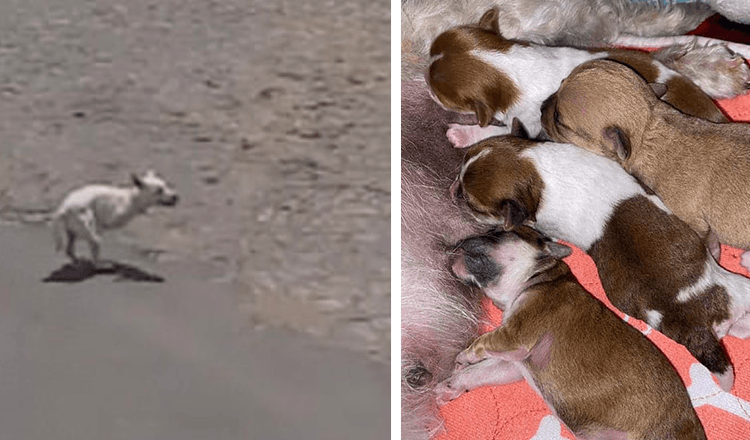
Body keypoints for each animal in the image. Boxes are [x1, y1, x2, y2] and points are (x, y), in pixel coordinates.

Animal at [51, 170, 179, 266]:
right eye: (159, 190)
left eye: (166, 185)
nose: (176, 196)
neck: (131, 198)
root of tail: (64, 209)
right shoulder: (106, 221)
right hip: (88, 231)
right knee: (94, 246)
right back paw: (100, 264)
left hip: (72, 232)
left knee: (70, 250)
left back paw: (79, 260)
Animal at [426, 7, 744, 144]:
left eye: (438, 93)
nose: (425, 85)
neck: (509, 65)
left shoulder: (530, 123)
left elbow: (495, 130)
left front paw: (462, 133)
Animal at [438, 227, 708, 440]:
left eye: (497, 233)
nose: (461, 239)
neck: (536, 276)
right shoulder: (512, 364)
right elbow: (478, 373)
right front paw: (450, 385)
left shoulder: (513, 336)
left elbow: (482, 344)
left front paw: (463, 357)